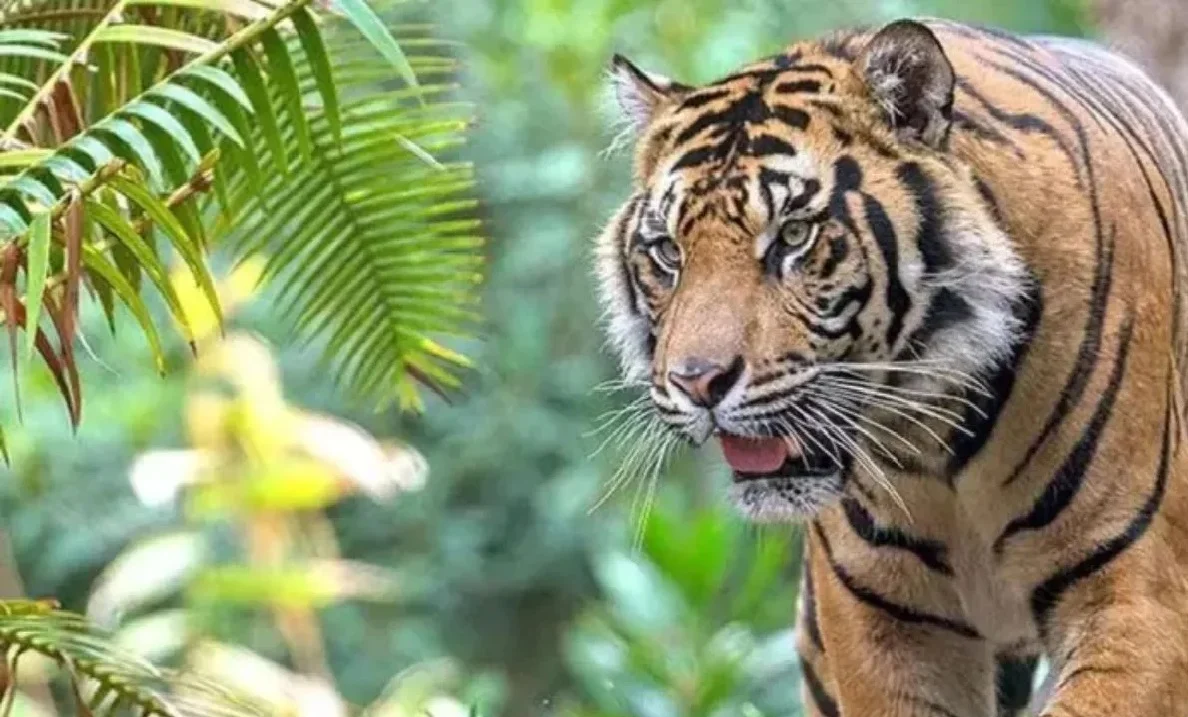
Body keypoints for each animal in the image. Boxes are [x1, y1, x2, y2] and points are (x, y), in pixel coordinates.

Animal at [593, 16, 1188, 717]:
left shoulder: (1139, 599)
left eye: (794, 236)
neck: (940, 448)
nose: (697, 383)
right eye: (667, 251)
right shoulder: (882, 621)